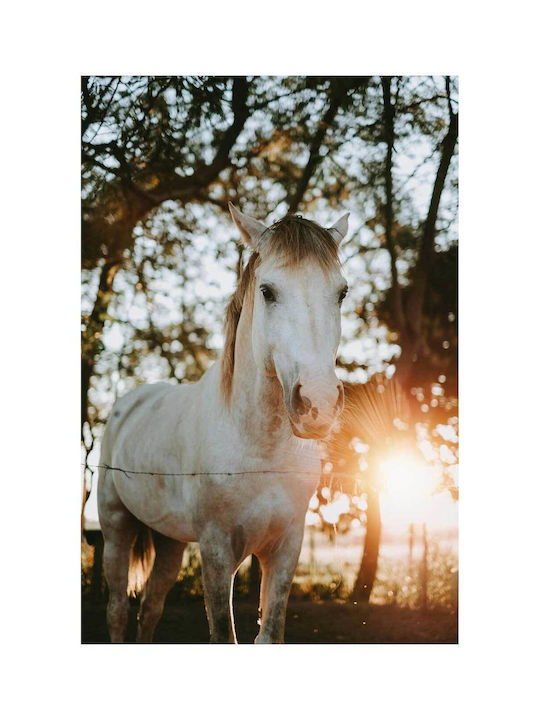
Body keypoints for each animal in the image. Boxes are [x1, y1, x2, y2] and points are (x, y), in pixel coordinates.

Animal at [97, 203, 349, 643]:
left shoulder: (287, 548)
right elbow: (222, 634)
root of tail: (126, 405)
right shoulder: (216, 553)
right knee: (117, 611)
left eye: (342, 292)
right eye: (267, 291)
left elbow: (270, 632)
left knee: (150, 608)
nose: (318, 403)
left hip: (169, 542)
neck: (259, 449)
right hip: (116, 530)